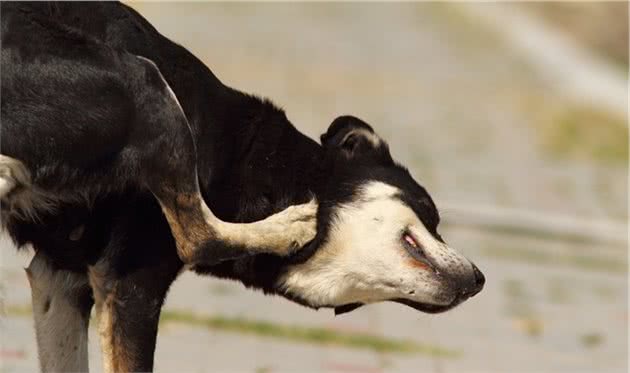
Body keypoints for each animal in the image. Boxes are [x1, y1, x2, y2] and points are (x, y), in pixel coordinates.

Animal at [0, 3, 486, 372]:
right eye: (431, 214)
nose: (480, 280)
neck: (259, 165)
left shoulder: (60, 281)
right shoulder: (130, 284)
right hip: (145, 82)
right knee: (199, 238)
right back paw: (288, 227)